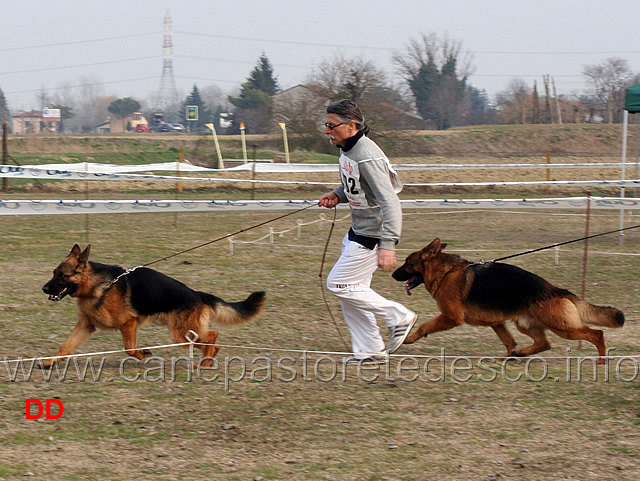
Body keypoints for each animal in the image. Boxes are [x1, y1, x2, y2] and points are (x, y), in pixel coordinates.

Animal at [40, 246, 264, 366]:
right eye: (53, 273)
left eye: (62, 276)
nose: (43, 288)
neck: (98, 286)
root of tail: (198, 294)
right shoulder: (86, 326)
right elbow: (66, 345)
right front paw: (50, 362)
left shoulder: (128, 324)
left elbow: (130, 349)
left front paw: (142, 354)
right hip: (183, 334)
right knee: (213, 340)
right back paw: (208, 360)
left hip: (182, 334)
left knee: (212, 337)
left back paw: (205, 362)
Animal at [392, 238, 624, 362]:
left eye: (407, 263)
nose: (392, 274)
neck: (445, 271)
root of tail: (557, 290)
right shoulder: (497, 322)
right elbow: (508, 340)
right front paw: (510, 353)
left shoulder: (450, 317)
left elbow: (425, 325)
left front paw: (408, 338)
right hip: (525, 323)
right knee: (544, 343)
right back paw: (519, 354)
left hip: (562, 326)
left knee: (596, 333)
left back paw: (602, 359)